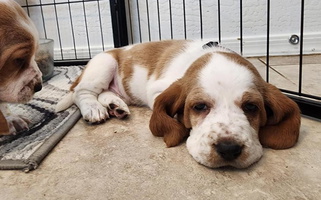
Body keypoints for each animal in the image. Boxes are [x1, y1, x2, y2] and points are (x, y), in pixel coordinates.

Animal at [56, 39, 298, 168]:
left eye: (251, 107)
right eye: (199, 107)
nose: (228, 149)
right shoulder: (158, 90)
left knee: (106, 92)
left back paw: (117, 107)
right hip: (103, 65)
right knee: (81, 92)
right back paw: (94, 109)